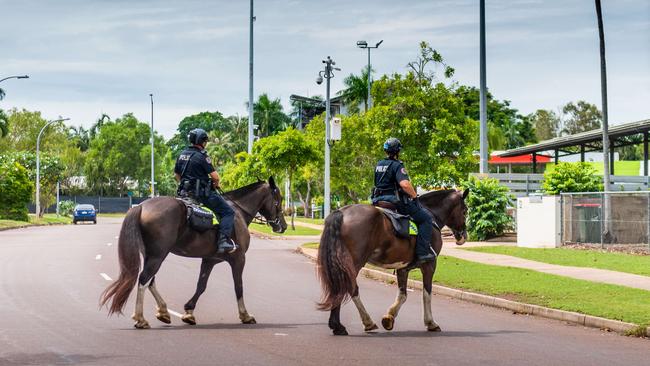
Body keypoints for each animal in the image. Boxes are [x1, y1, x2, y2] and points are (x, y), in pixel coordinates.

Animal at [100, 178, 284, 328]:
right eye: (279, 199)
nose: (282, 225)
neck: (237, 213)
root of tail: (141, 206)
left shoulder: (209, 260)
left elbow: (201, 285)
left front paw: (189, 312)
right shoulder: (239, 259)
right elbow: (238, 286)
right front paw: (245, 315)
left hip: (151, 255)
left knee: (150, 281)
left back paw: (163, 311)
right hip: (158, 255)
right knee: (145, 279)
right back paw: (140, 318)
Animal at [314, 190, 466, 336]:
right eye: (465, 211)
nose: (463, 236)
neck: (431, 214)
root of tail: (341, 212)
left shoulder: (403, 268)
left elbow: (403, 295)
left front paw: (389, 318)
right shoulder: (429, 265)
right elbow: (426, 294)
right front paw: (430, 322)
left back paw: (338, 326)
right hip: (354, 263)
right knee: (349, 288)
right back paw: (363, 322)